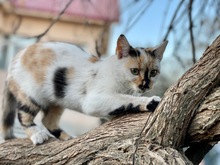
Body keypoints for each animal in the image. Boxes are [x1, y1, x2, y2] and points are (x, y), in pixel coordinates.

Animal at [0, 34, 168, 144]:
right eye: (134, 71)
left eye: (153, 73)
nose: (145, 84)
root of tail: (16, 58)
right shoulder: (94, 100)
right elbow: (126, 99)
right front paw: (150, 101)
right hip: (31, 94)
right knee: (23, 115)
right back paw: (37, 134)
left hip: (57, 98)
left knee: (47, 120)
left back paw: (67, 138)